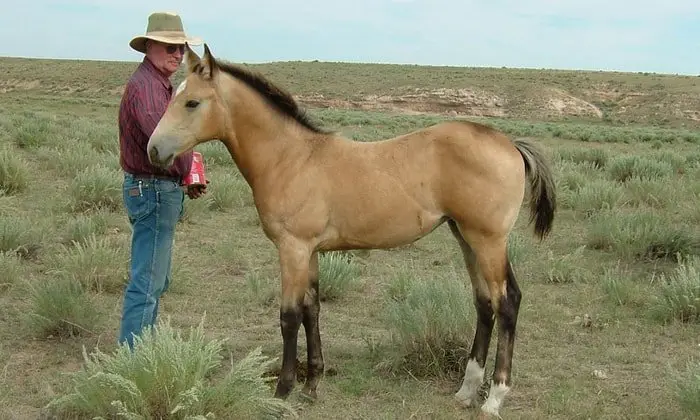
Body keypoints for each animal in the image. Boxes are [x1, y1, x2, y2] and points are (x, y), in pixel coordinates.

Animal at [148, 42, 556, 416]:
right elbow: (312, 309)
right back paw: (467, 391)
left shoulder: (292, 248)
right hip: (465, 236)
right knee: (484, 303)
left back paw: (494, 398)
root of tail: (509, 144)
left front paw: (283, 390)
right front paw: (312, 385)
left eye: (192, 103)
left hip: (488, 240)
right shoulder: (309, 251)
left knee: (507, 302)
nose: (154, 149)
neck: (291, 158)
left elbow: (289, 316)